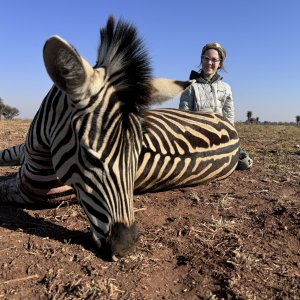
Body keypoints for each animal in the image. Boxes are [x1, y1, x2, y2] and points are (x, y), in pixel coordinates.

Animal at [0, 16, 239, 260]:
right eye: (88, 155)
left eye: (138, 153)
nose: (125, 247)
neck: (38, 151)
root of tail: (232, 130)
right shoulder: (20, 150)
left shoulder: (21, 190)